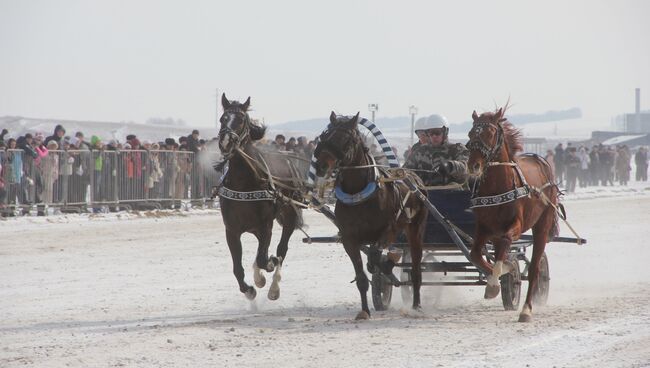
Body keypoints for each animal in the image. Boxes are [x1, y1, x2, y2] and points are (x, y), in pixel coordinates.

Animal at [312, 111, 428, 320]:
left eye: (346, 139)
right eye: (324, 136)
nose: (322, 166)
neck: (358, 194)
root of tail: (414, 177)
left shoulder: (389, 229)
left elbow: (375, 254)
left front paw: (379, 265)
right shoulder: (349, 239)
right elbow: (361, 278)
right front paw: (364, 310)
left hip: (416, 229)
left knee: (415, 269)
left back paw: (416, 305)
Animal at [466, 107, 556, 322]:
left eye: (490, 133)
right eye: (471, 133)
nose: (473, 165)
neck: (499, 186)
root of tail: (540, 160)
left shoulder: (515, 226)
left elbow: (507, 243)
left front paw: (502, 274)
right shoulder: (485, 228)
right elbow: (475, 254)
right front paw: (498, 276)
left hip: (543, 224)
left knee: (535, 268)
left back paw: (526, 309)